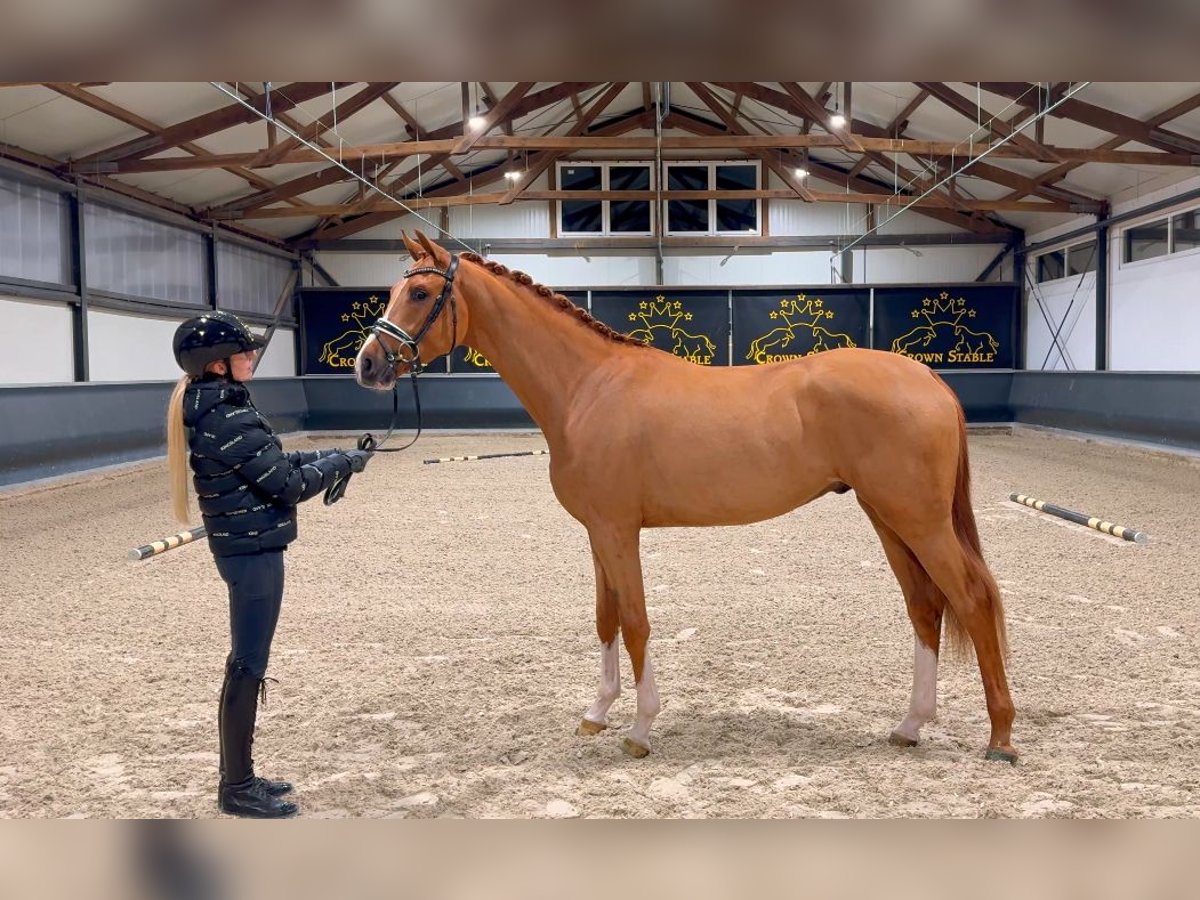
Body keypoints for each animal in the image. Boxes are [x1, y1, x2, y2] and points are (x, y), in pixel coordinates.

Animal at [352, 230, 1012, 763]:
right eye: (390, 289)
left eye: (418, 294)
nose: (367, 365)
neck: (588, 385)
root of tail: (926, 376)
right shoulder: (599, 534)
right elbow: (606, 618)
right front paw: (597, 713)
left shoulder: (619, 532)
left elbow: (637, 623)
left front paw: (640, 730)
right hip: (887, 517)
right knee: (925, 608)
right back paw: (910, 725)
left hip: (919, 520)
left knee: (973, 600)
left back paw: (1000, 737)